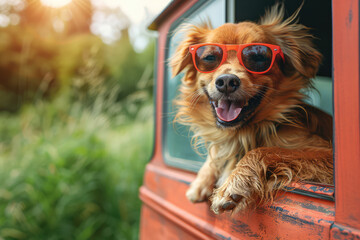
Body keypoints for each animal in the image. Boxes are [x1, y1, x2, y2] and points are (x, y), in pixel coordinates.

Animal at [170, 3, 334, 214]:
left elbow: (267, 150)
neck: (243, 134)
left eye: (258, 57)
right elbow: (217, 151)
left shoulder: (328, 154)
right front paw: (201, 181)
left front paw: (232, 184)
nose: (227, 81)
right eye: (209, 57)